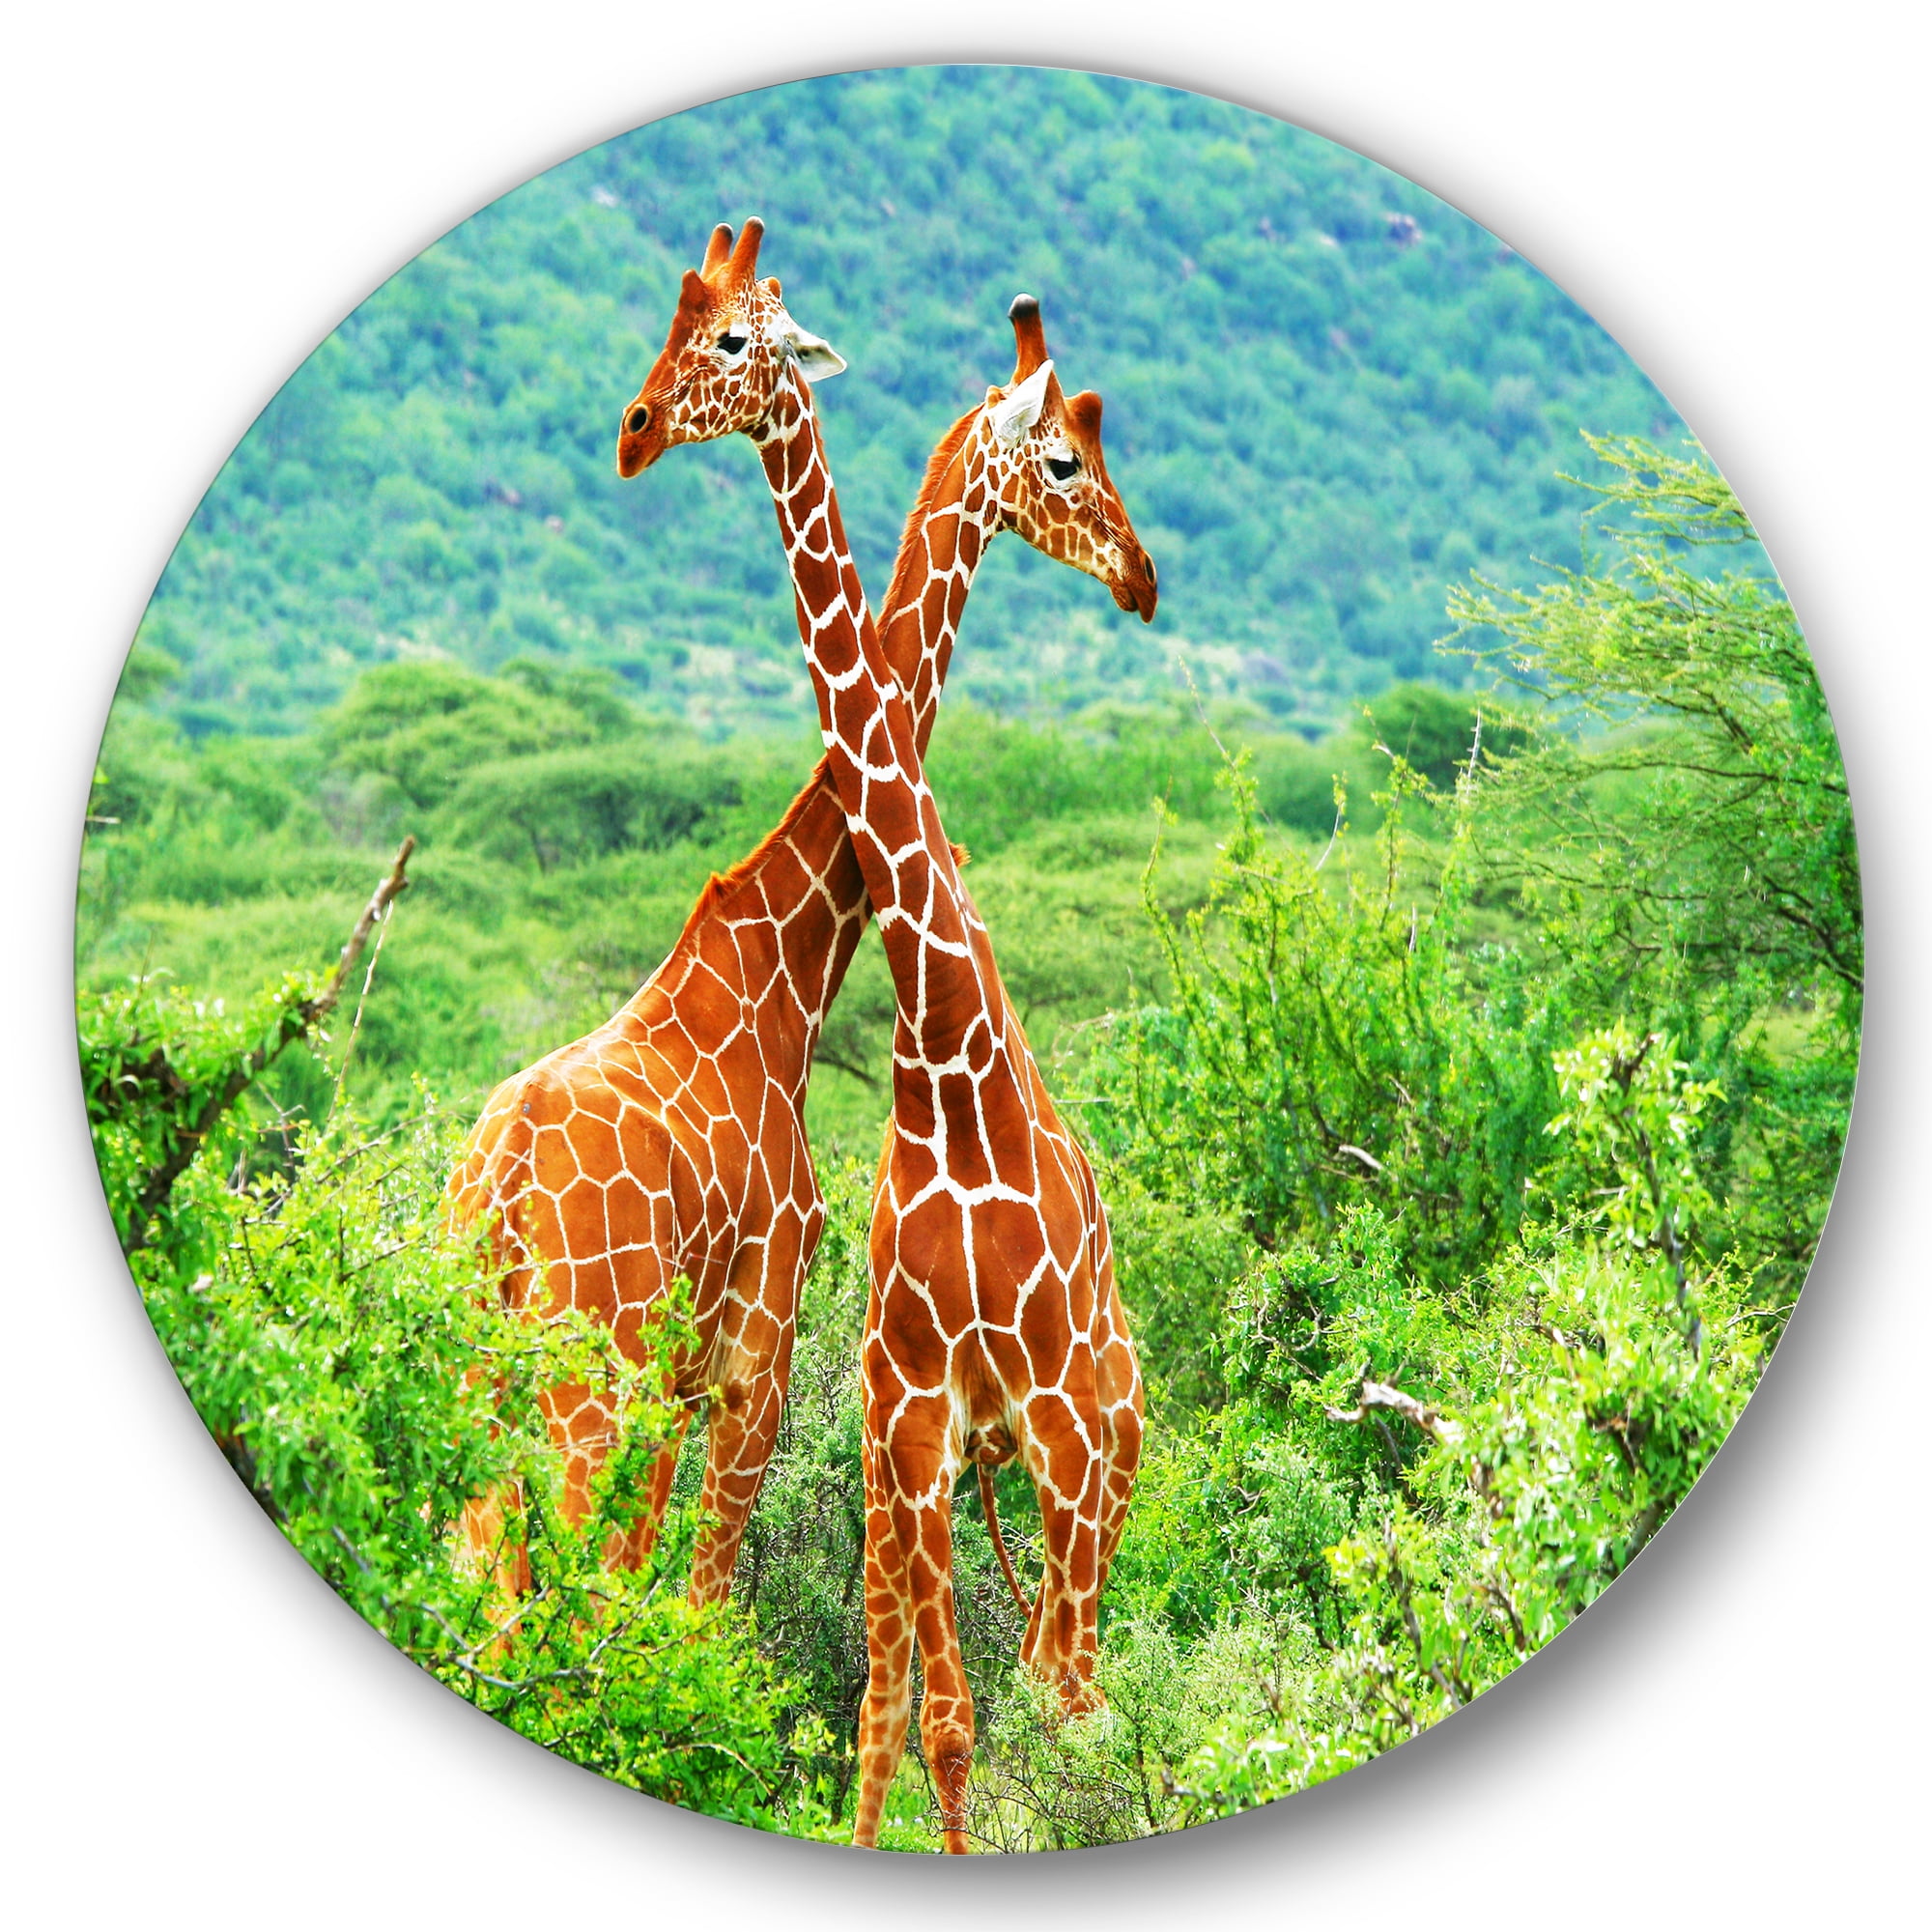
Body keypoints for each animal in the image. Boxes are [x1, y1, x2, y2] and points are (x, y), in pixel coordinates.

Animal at [448, 219, 1155, 1614]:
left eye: (725, 335)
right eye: (1067, 457)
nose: (1140, 576)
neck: (790, 959)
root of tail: (495, 1178)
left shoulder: (699, 1372)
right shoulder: (755, 1351)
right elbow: (692, 1604)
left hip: (477, 1352)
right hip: (583, 1365)